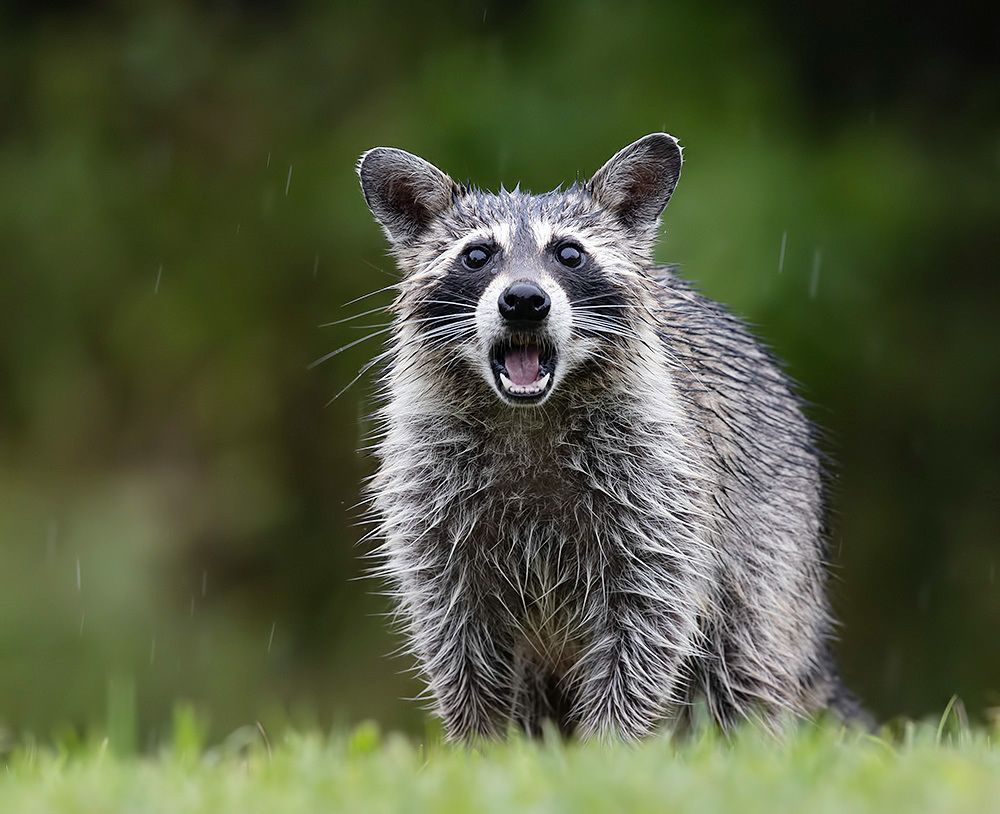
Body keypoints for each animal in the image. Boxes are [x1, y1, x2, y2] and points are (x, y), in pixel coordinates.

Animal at [354, 133, 862, 740]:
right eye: (477, 256)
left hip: (770, 540)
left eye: (569, 254)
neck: (528, 415)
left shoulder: (661, 487)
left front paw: (612, 746)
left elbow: (647, 623)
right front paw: (483, 744)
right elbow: (458, 638)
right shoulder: (431, 504)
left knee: (744, 663)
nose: (523, 299)